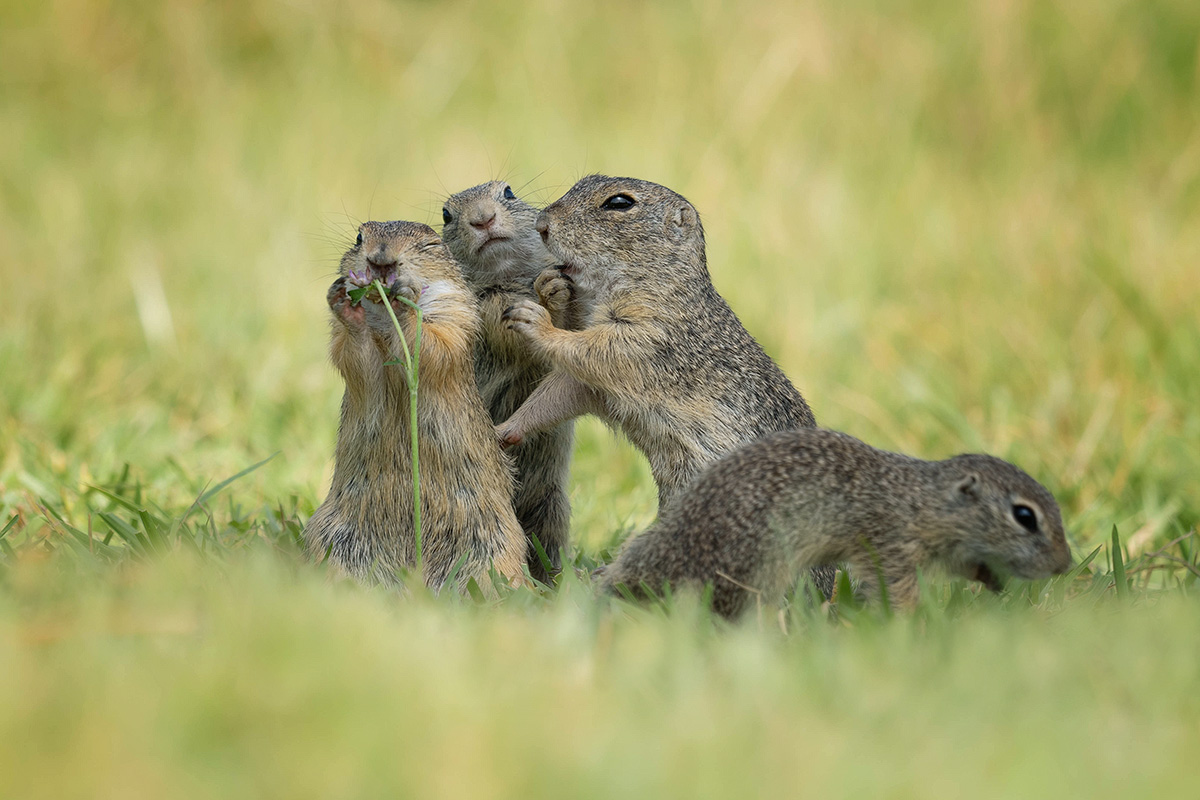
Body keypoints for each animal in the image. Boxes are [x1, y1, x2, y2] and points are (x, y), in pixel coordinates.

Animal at [304, 221, 525, 592]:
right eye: (359, 238)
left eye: (430, 244)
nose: (380, 260)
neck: (385, 317)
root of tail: (416, 583)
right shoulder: (353, 346)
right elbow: (355, 355)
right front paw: (343, 297)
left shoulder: (455, 313)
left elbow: (435, 344)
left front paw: (406, 299)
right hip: (331, 542)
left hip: (498, 551)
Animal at [444, 181, 578, 582]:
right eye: (446, 215)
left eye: (508, 192)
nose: (483, 218)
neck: (511, 280)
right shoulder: (492, 312)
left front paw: (554, 285)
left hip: (552, 507)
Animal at [597, 431, 1070, 618]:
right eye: (1025, 516)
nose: (1065, 565)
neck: (921, 501)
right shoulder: (889, 548)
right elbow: (897, 593)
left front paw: (992, 582)